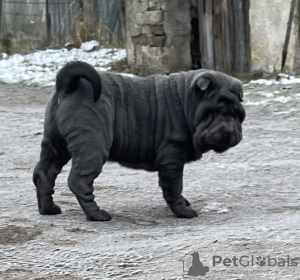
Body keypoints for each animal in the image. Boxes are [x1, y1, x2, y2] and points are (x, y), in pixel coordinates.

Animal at [32, 61, 245, 221]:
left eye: (236, 114)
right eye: (212, 112)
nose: (228, 132)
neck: (186, 101)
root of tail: (69, 85)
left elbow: (170, 186)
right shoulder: (172, 157)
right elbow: (175, 186)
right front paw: (183, 211)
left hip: (56, 143)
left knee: (44, 173)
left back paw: (48, 209)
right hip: (92, 145)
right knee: (79, 181)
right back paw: (97, 214)